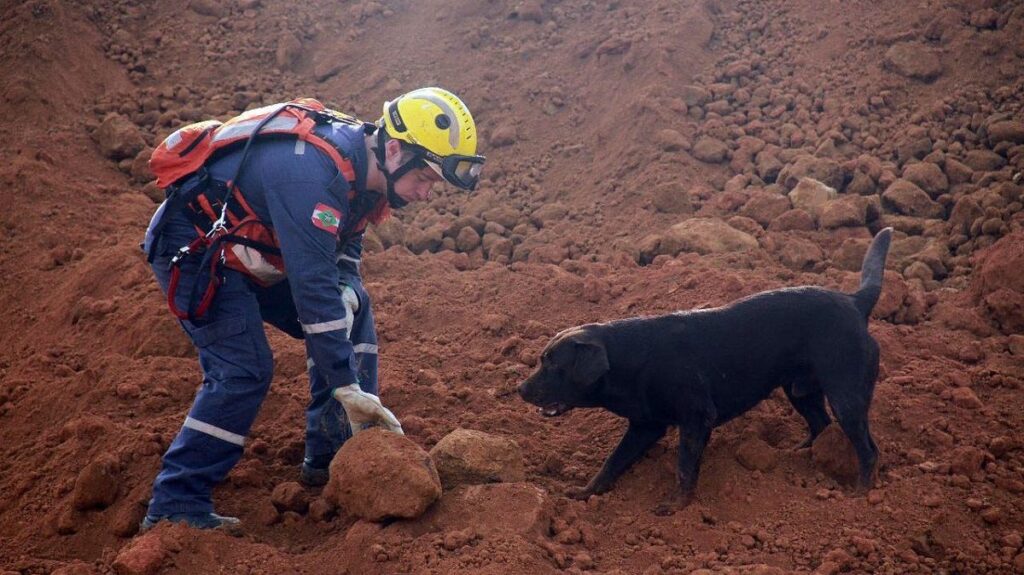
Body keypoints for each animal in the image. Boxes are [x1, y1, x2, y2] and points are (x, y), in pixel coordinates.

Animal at [516, 226, 892, 503]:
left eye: (552, 365)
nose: (519, 389)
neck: (629, 358)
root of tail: (854, 302)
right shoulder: (645, 426)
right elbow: (611, 463)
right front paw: (585, 493)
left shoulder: (696, 417)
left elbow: (684, 467)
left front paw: (676, 507)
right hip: (801, 390)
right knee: (820, 424)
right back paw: (801, 453)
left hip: (847, 395)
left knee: (868, 448)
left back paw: (861, 492)